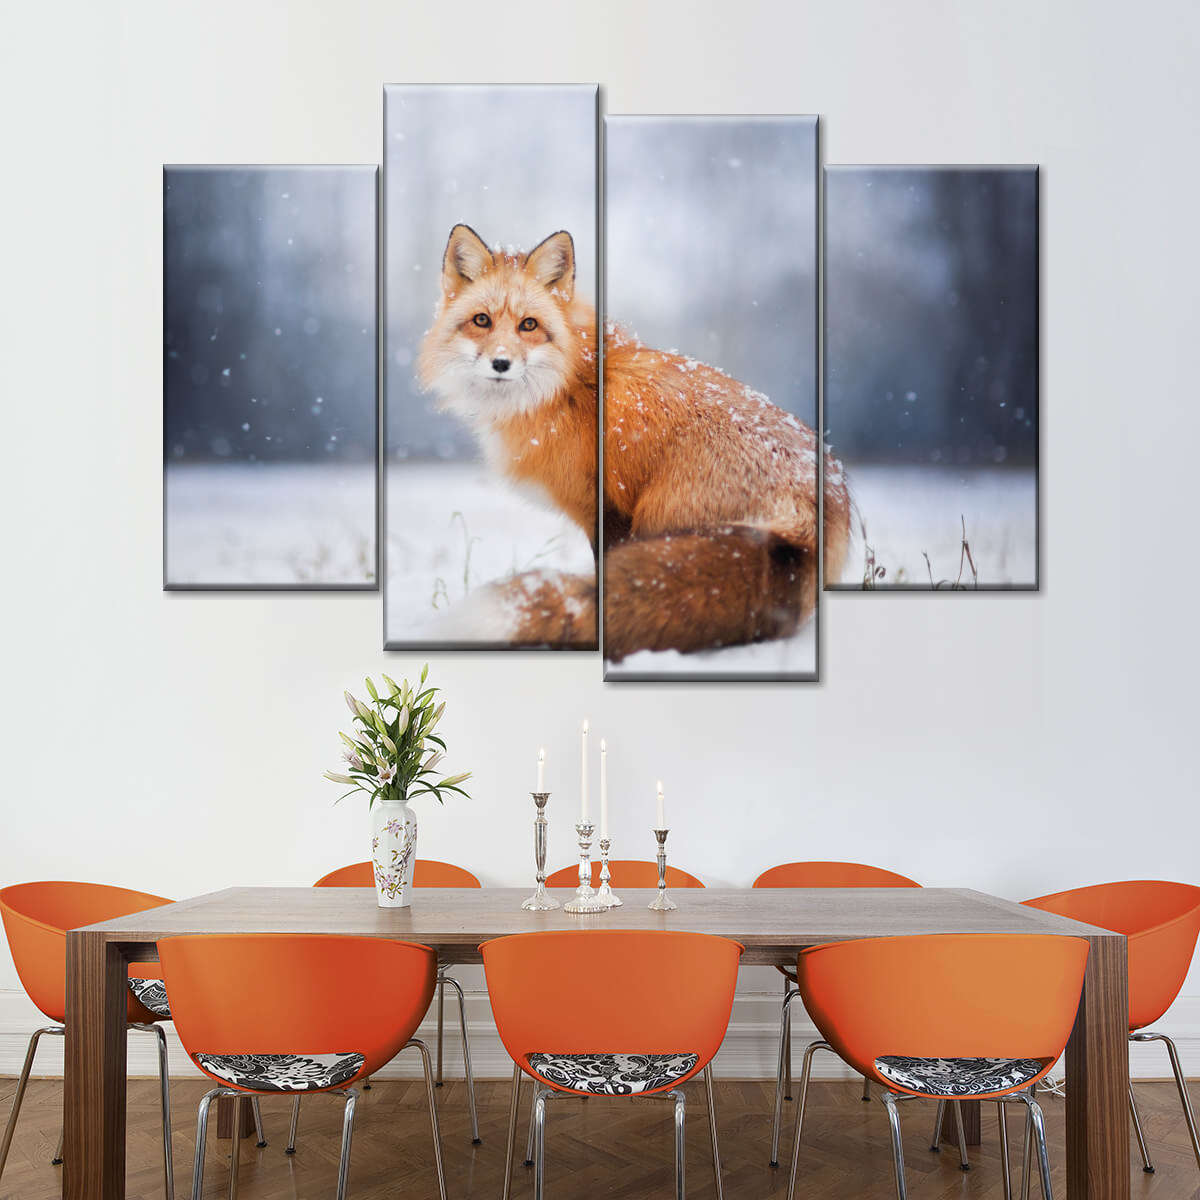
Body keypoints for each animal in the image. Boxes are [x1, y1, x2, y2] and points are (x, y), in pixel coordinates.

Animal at [418, 223, 851, 659]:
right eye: (482, 320)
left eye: (528, 325)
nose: (501, 363)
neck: (570, 384)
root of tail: (809, 519)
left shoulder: (608, 510)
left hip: (657, 519)